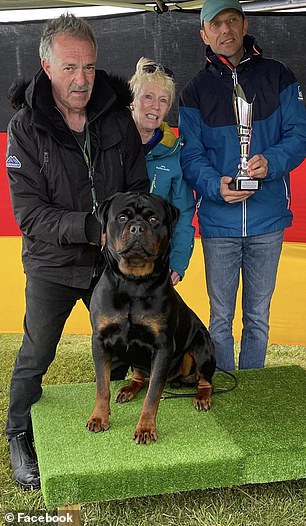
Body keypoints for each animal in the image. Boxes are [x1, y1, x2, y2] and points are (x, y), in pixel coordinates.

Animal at [86, 192, 215, 444]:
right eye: (122, 217)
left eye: (154, 219)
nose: (137, 227)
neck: (133, 283)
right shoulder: (100, 340)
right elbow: (102, 386)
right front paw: (99, 417)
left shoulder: (162, 346)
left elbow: (153, 393)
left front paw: (145, 428)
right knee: (138, 375)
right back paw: (128, 389)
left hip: (202, 345)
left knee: (206, 380)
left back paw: (202, 396)